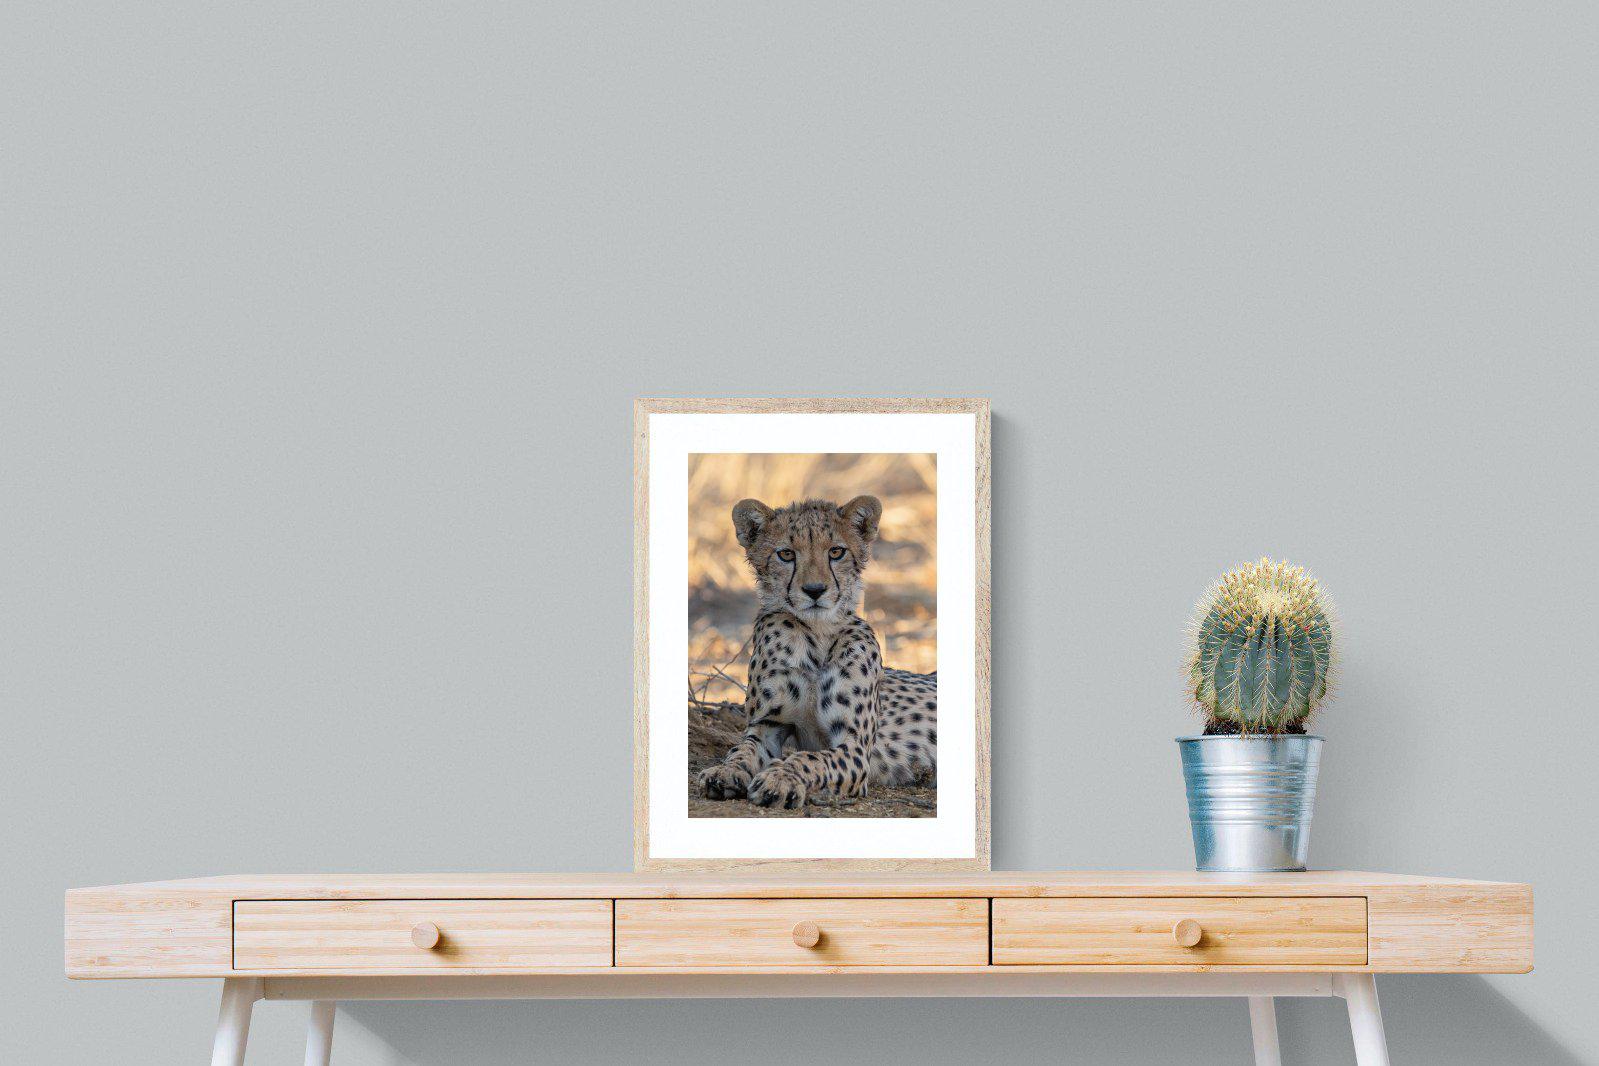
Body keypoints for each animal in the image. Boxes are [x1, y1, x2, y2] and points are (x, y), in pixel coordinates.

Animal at [697, 493, 937, 811]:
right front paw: (725, 771)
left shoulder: (855, 747)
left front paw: (780, 779)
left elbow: (810, 758)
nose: (814, 590)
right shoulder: (767, 726)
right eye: (786, 554)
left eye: (836, 551)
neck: (816, 636)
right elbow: (741, 749)